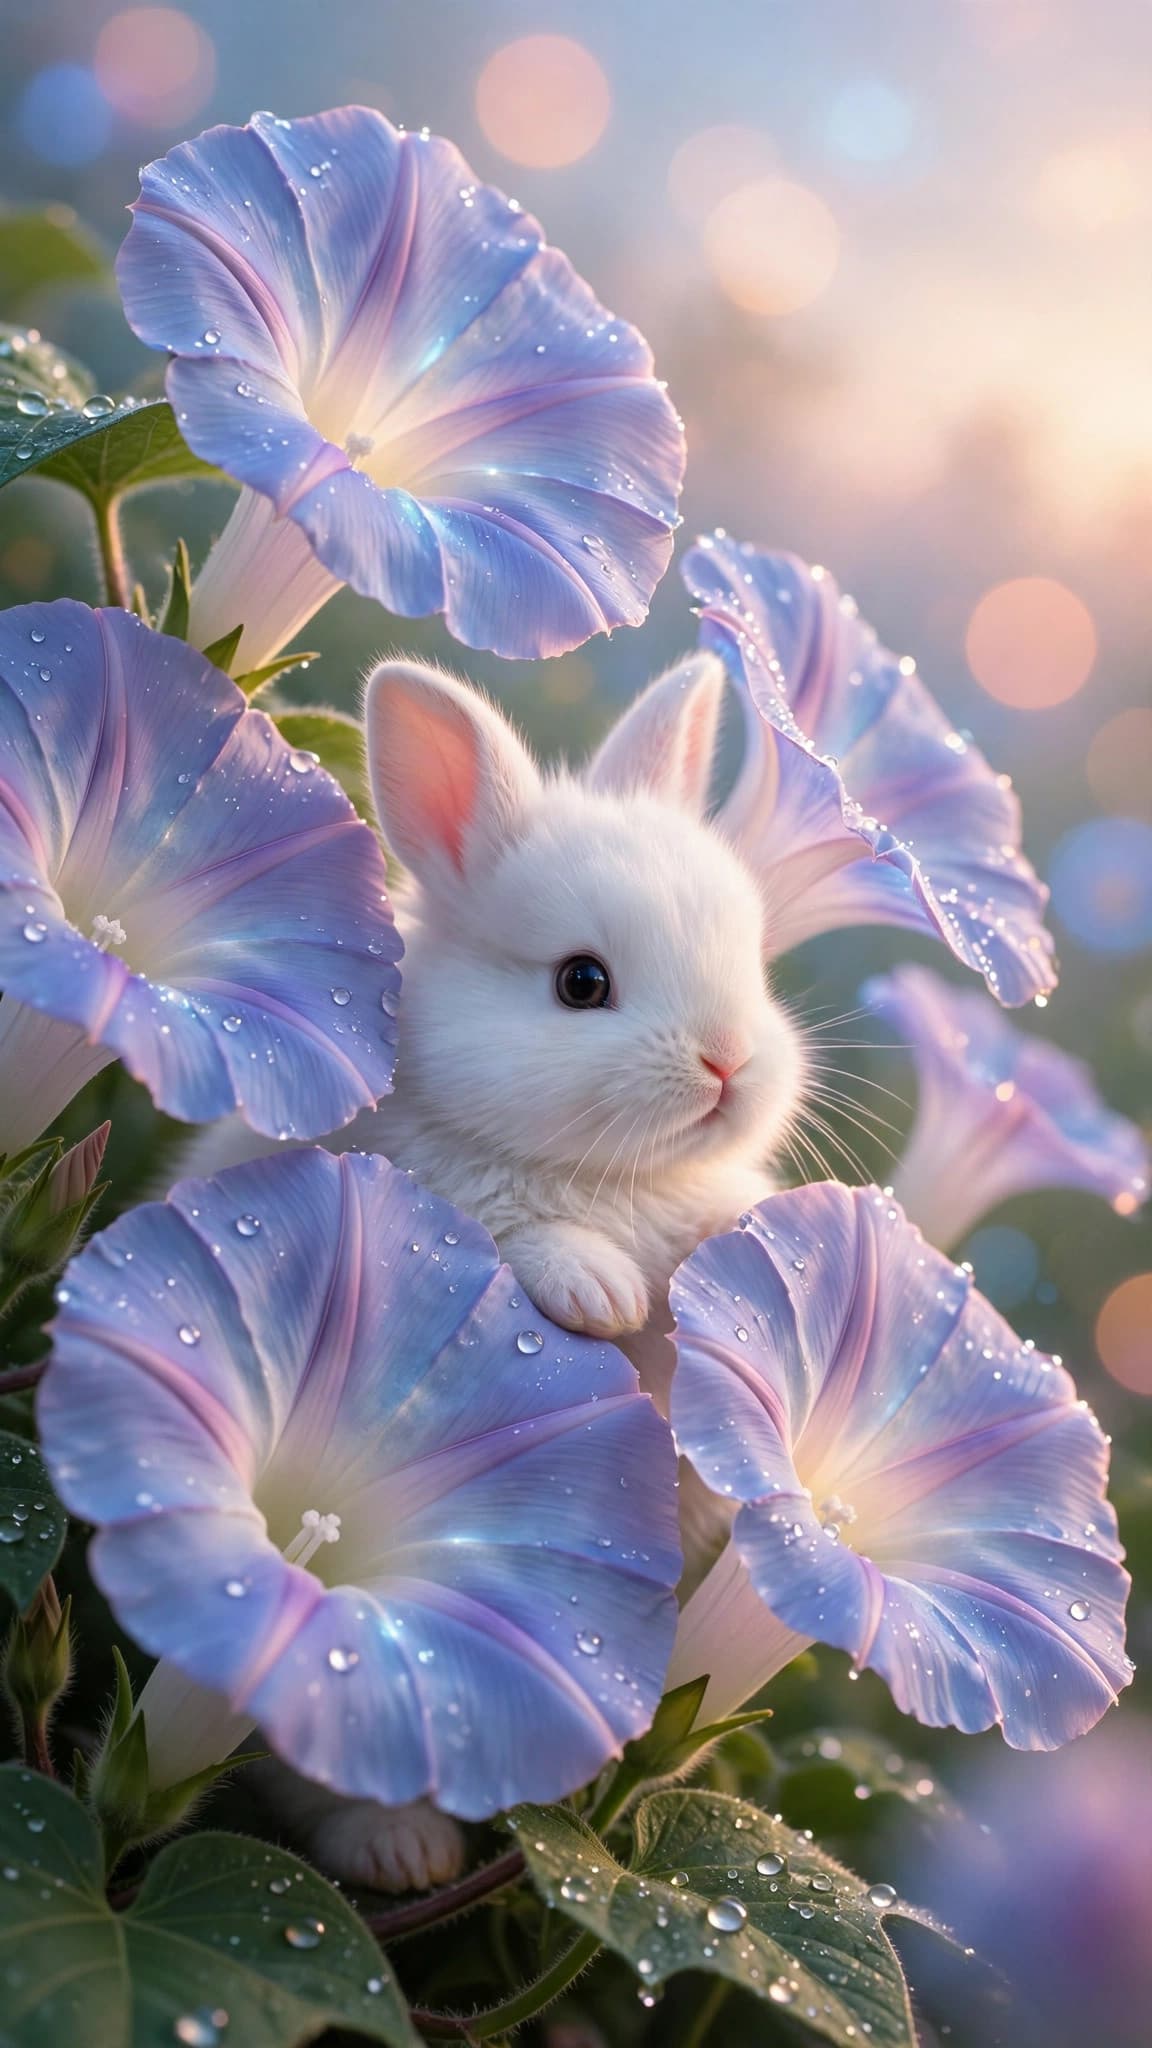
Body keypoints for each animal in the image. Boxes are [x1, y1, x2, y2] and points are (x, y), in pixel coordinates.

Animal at [185, 651, 808, 1891]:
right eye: (581, 982)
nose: (728, 1062)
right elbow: (527, 1236)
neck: (606, 1176)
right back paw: (405, 1852)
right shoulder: (449, 1192)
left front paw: (746, 1229)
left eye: (749, 960)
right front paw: (602, 1289)